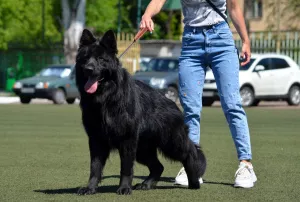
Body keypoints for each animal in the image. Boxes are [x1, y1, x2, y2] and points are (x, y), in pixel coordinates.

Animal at [75, 29, 206, 195]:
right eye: (86, 59)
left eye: (101, 59)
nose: (88, 69)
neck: (107, 98)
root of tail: (172, 103)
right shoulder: (96, 140)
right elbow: (95, 168)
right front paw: (90, 188)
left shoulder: (127, 140)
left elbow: (125, 168)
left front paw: (124, 188)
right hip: (143, 150)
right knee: (158, 167)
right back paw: (147, 184)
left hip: (171, 144)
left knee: (190, 154)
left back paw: (194, 182)